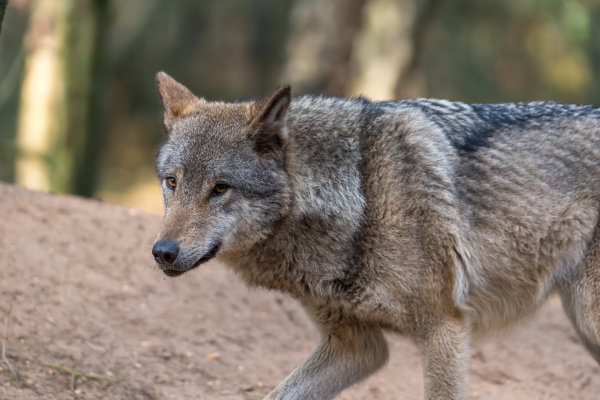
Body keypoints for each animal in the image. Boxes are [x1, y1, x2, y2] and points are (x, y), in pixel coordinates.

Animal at [151, 72, 600, 400]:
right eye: (172, 182)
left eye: (220, 188)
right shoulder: (357, 346)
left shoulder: (444, 328)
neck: (360, 193)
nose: (162, 252)